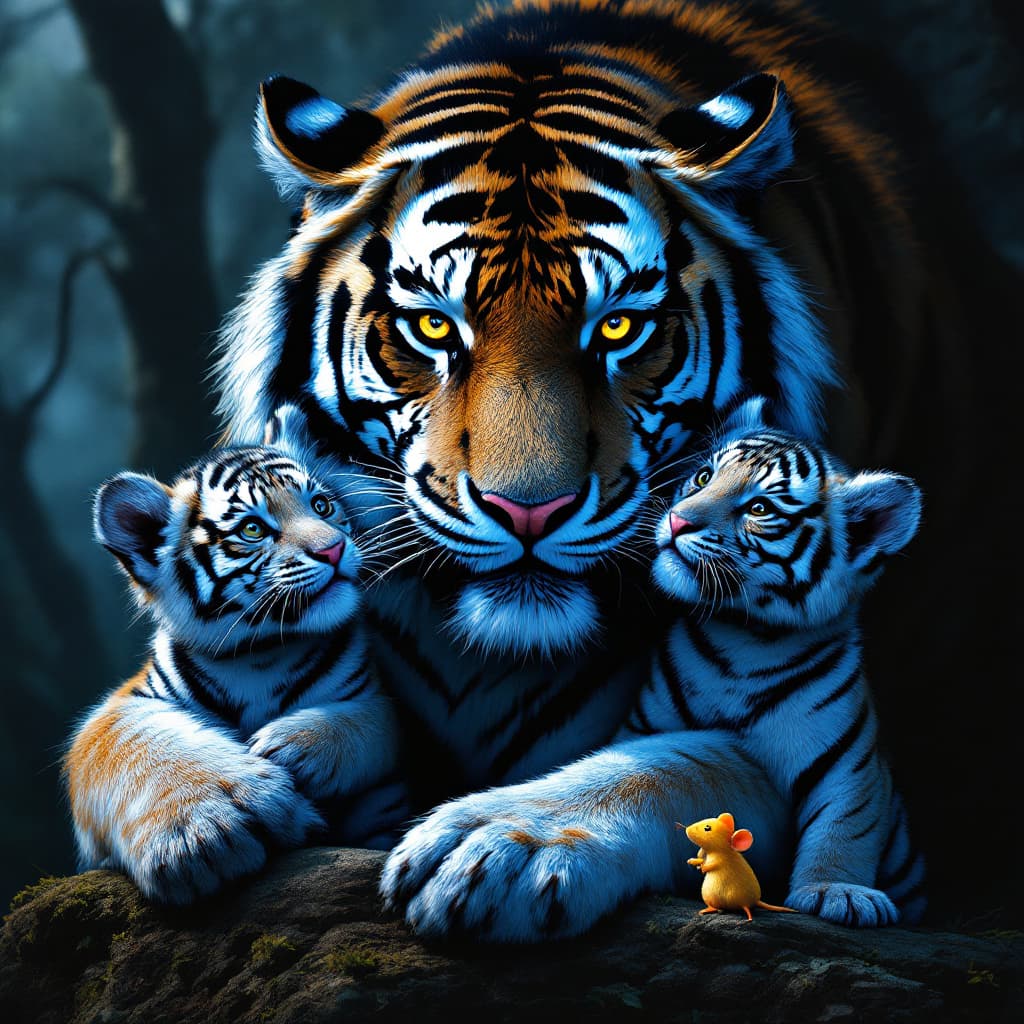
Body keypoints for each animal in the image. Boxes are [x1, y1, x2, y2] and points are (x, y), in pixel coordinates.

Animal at [65, 410, 406, 904]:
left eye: (322, 506)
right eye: (253, 529)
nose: (333, 549)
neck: (260, 655)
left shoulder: (372, 693)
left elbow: (375, 716)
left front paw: (295, 749)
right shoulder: (123, 705)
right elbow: (131, 745)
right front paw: (204, 833)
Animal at [618, 397, 926, 926]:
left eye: (759, 508)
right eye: (703, 477)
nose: (677, 520)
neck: (743, 643)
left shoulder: (851, 767)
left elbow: (845, 828)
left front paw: (838, 892)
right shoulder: (641, 730)